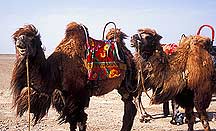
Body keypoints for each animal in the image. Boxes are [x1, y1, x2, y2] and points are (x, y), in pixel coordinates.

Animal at [10, 22, 138, 130]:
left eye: (32, 39)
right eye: (16, 38)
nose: (20, 41)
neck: (56, 71)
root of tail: (127, 52)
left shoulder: (78, 94)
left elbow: (80, 120)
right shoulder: (66, 94)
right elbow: (72, 121)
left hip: (129, 82)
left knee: (130, 107)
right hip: (121, 86)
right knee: (129, 106)